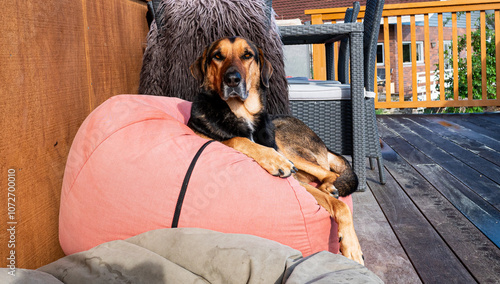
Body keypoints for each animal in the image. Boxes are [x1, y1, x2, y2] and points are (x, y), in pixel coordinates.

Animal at [188, 36, 364, 266]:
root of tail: (324, 144)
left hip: (284, 140)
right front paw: (274, 160)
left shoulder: (295, 179)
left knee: (329, 173)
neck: (241, 111)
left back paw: (329, 186)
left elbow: (341, 206)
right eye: (218, 56)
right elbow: (238, 140)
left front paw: (352, 247)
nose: (232, 80)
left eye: (247, 55)